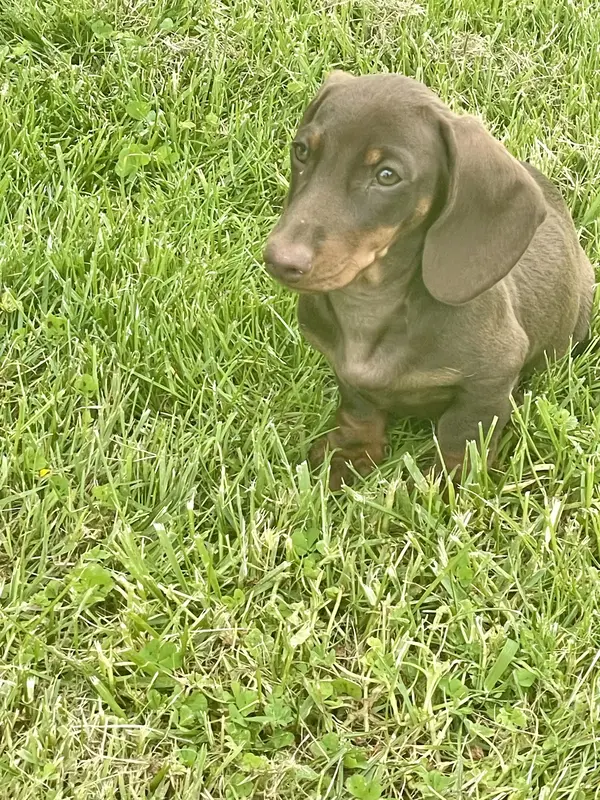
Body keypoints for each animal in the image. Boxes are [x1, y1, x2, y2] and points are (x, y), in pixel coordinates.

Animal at [264, 73, 596, 488]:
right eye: (302, 151)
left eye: (387, 175)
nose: (279, 261)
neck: (371, 302)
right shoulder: (344, 369)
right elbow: (358, 409)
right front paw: (351, 453)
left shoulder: (489, 379)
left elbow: (461, 434)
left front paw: (450, 482)